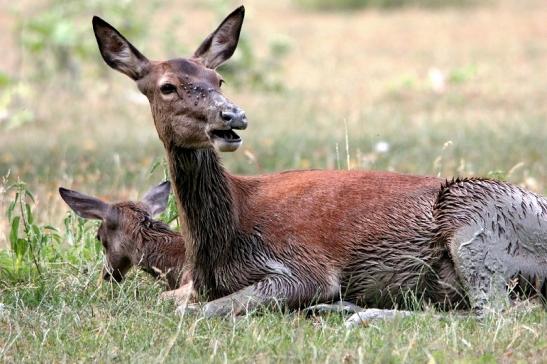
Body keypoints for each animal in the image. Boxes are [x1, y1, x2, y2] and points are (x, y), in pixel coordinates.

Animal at [92, 6, 544, 318]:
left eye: (218, 79)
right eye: (166, 86)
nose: (232, 115)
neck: (218, 244)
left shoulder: (305, 266)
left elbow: (196, 309)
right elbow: (175, 300)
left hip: (477, 215)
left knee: (497, 313)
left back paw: (356, 314)